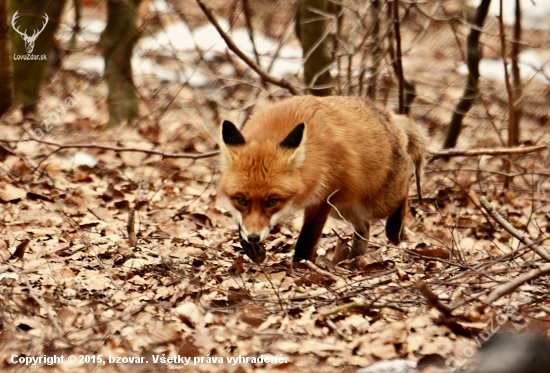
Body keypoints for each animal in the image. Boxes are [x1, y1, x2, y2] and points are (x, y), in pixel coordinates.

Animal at [218, 96, 430, 264]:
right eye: (241, 200)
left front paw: (300, 265)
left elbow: (307, 238)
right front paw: (253, 250)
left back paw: (395, 230)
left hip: (375, 203)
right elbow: (241, 229)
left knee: (404, 192)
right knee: (364, 228)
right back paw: (353, 259)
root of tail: (389, 115)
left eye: (272, 202)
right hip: (344, 208)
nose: (254, 238)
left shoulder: (323, 197)